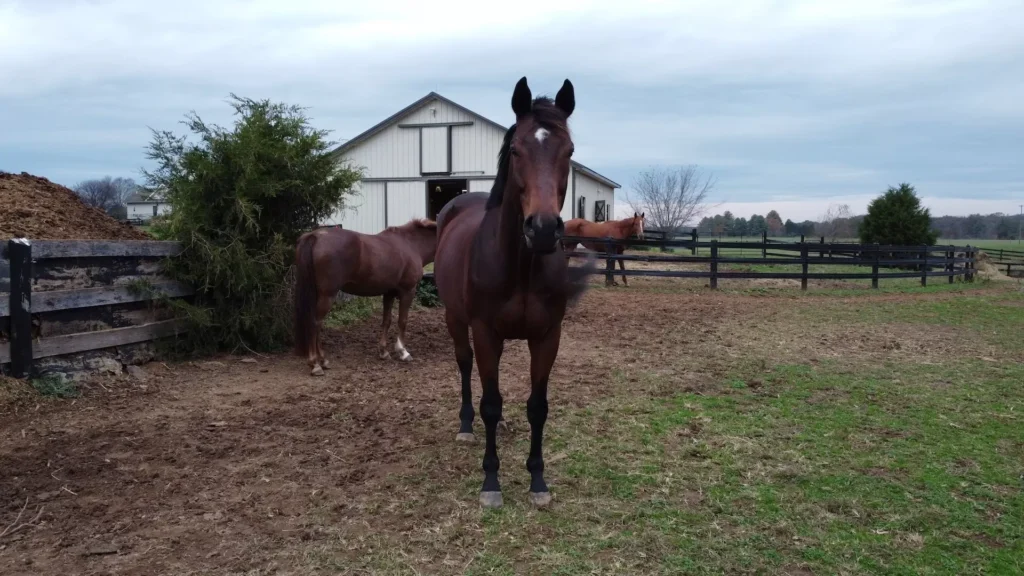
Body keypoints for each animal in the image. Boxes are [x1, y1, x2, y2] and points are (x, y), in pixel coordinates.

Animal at [293, 218, 437, 376]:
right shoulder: (408, 291)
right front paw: (403, 352)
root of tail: (315, 236)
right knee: (315, 323)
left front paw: (384, 352)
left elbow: (386, 321)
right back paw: (315, 364)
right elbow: (402, 321)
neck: (411, 244)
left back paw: (323, 361)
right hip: (327, 295)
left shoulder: (389, 293)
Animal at [434, 76, 595, 509]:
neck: (521, 266)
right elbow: (490, 403)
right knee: (465, 365)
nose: (542, 229)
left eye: (569, 151)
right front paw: (491, 482)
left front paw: (537, 481)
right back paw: (465, 425)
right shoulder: (485, 331)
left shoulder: (548, 336)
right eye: (517, 150)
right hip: (456, 320)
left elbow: (537, 407)